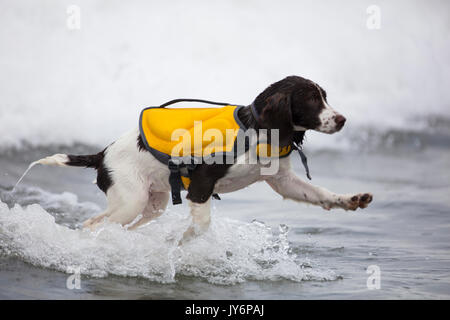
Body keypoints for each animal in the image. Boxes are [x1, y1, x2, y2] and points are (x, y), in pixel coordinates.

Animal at [34, 77, 372, 242]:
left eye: (325, 96)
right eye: (312, 100)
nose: (342, 120)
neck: (255, 130)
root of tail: (102, 154)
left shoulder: (282, 181)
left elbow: (320, 193)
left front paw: (350, 199)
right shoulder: (201, 183)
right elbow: (201, 224)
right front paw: (182, 244)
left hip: (152, 203)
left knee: (124, 225)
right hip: (130, 200)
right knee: (92, 224)